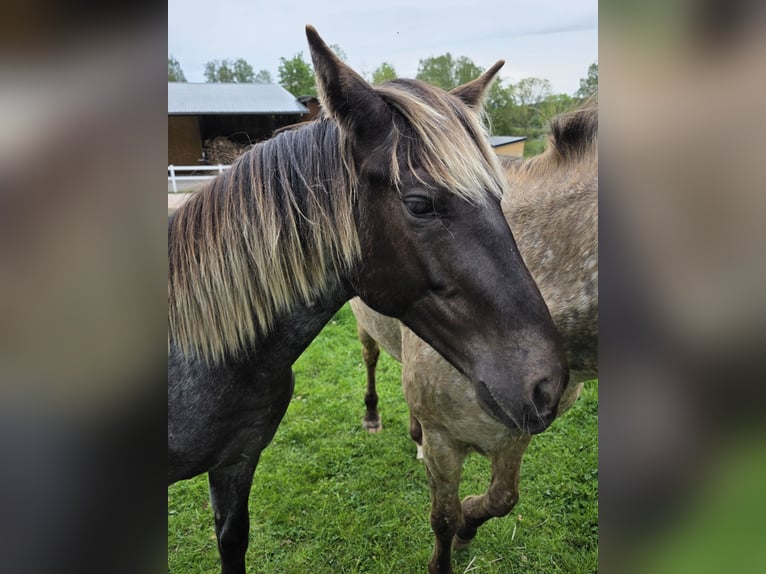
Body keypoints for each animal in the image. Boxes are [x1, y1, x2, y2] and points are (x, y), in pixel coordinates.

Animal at [351, 101, 597, 574]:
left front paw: (469, 525)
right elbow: (443, 518)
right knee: (371, 359)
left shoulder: (518, 431)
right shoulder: (446, 441)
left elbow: (503, 499)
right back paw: (372, 416)